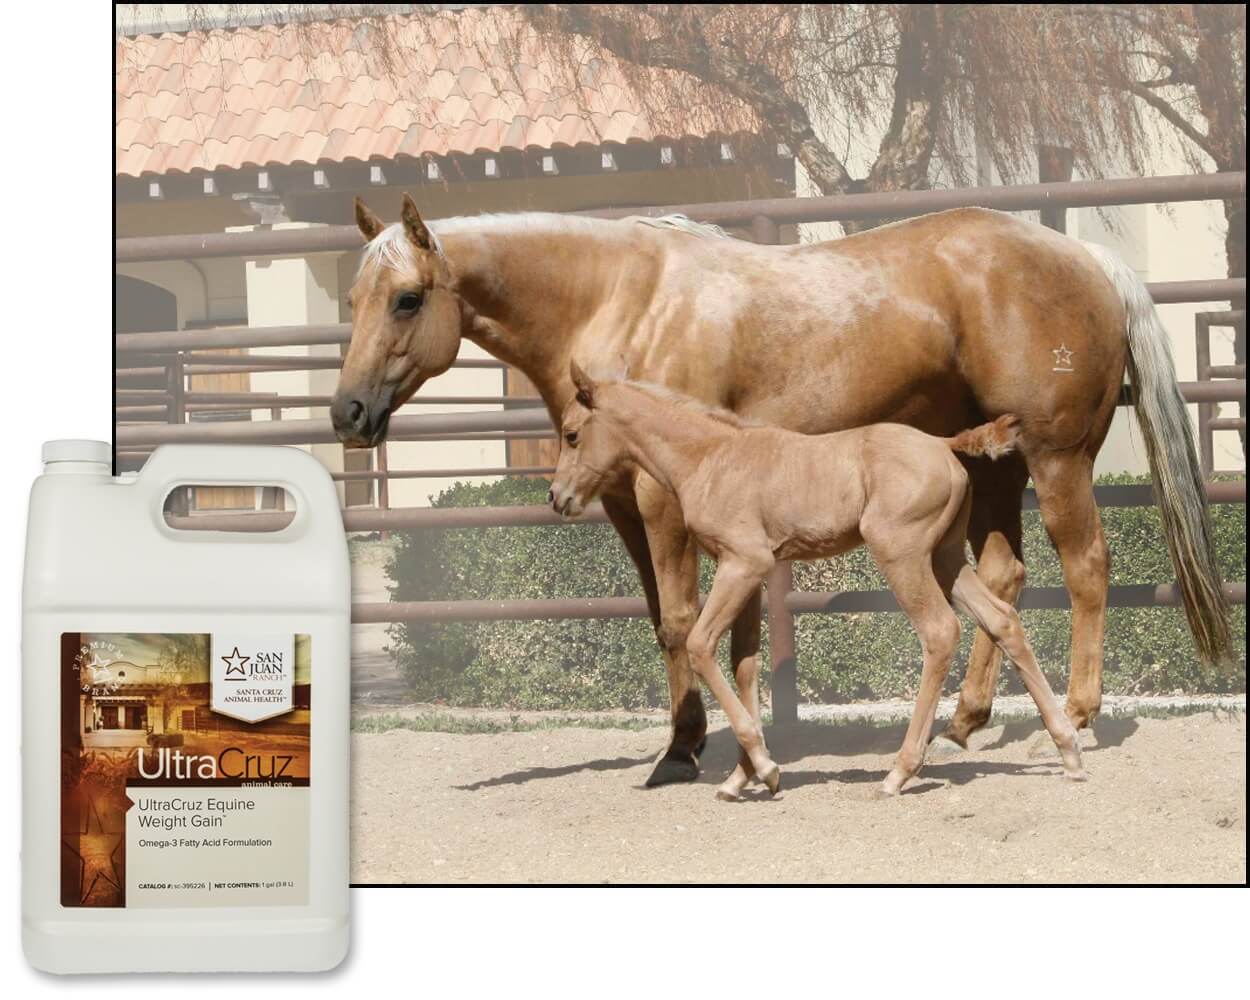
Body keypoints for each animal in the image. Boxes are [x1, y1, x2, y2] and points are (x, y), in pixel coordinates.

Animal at [549, 364, 1086, 798]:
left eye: (572, 434)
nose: (557, 497)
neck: (710, 457)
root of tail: (942, 443)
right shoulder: (747, 571)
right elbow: (745, 664)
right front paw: (742, 777)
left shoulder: (743, 563)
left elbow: (701, 646)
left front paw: (765, 769)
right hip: (946, 557)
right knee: (1003, 619)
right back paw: (1068, 751)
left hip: (903, 555)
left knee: (939, 632)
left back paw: (900, 771)